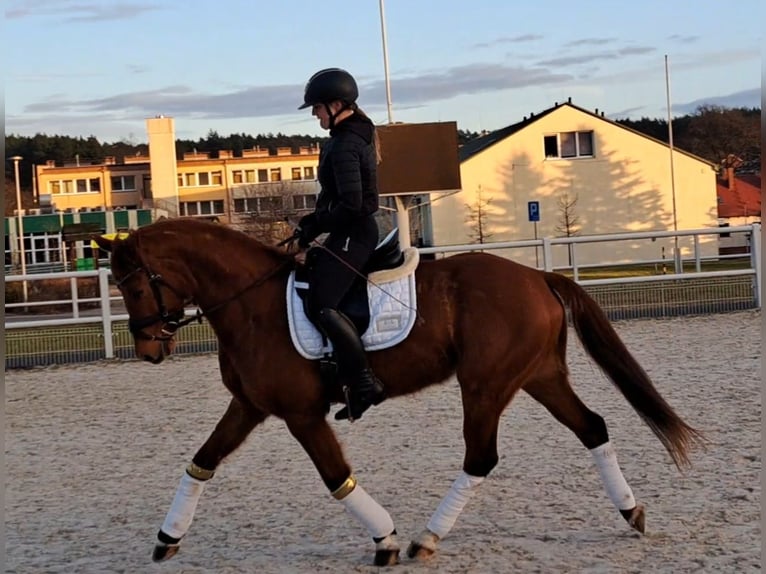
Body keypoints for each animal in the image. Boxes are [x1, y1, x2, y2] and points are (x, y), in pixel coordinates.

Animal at [93, 219, 704, 568]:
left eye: (134, 283)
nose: (148, 349)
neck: (250, 303)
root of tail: (537, 277)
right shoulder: (250, 406)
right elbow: (201, 462)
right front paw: (166, 538)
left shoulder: (300, 414)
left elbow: (336, 478)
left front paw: (384, 540)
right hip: (538, 376)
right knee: (592, 427)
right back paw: (631, 512)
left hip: (486, 385)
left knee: (481, 457)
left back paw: (425, 539)